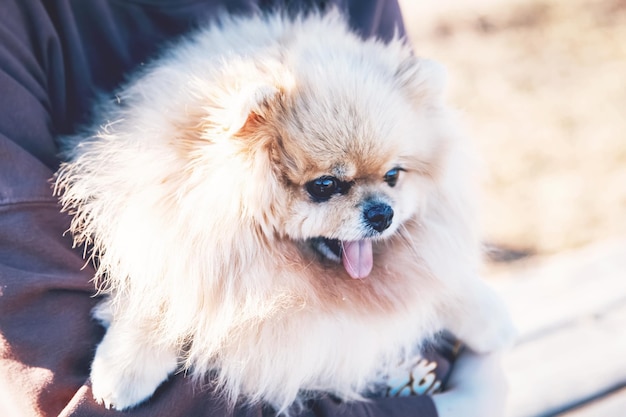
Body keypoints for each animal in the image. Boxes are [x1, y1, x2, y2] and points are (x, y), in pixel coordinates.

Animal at [53, 8, 512, 412]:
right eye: (325, 186)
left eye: (393, 176)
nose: (383, 214)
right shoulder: (164, 224)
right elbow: (168, 293)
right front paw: (126, 367)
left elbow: (438, 282)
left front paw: (484, 315)